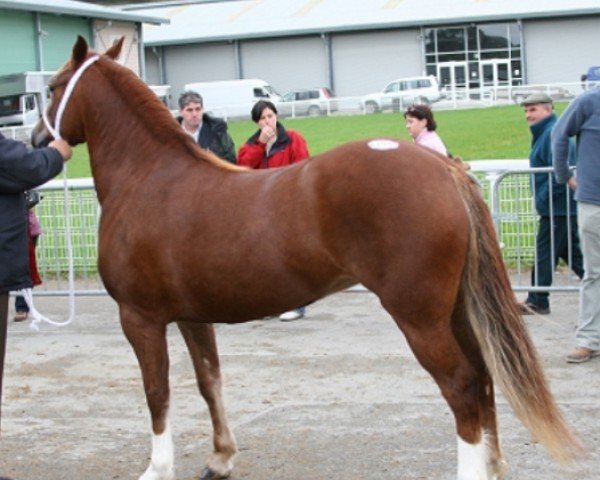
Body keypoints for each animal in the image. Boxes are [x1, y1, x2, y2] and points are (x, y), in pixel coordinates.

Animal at [32, 37, 580, 480]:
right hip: (456, 312)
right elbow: (210, 382)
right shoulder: (192, 317)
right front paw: (220, 458)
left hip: (420, 317)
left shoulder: (140, 318)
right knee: (484, 379)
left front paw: (158, 468)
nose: (37, 140)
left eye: (53, 86)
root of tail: (444, 169)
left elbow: (157, 393)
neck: (150, 178)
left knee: (463, 387)